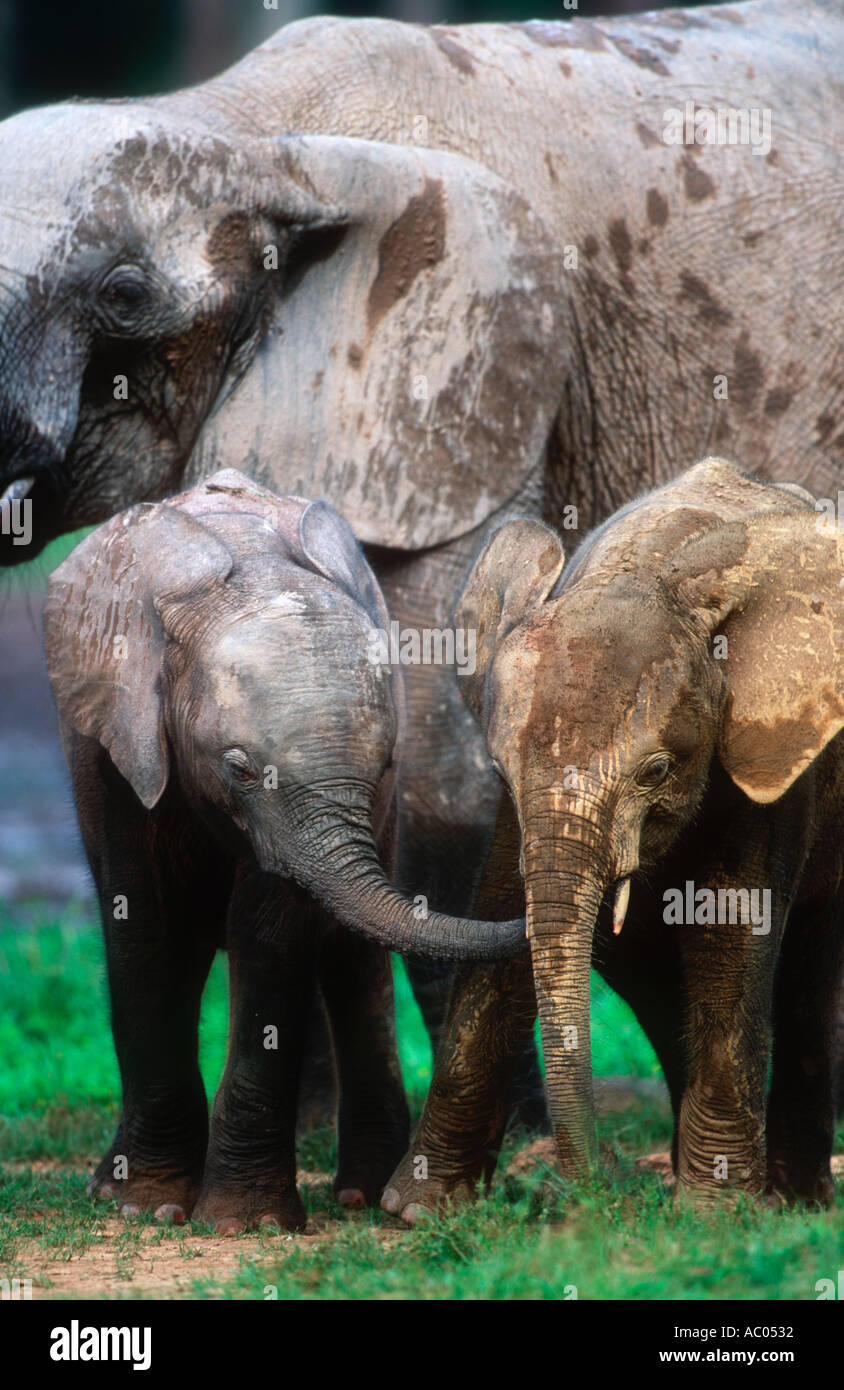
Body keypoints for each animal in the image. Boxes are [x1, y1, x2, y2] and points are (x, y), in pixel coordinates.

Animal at [42, 468, 524, 1231]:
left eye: (386, 763)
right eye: (238, 769)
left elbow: (269, 936)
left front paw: (246, 1224)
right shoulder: (115, 739)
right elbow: (143, 924)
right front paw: (147, 1208)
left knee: (353, 959)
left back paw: (362, 1193)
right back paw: (110, 1187)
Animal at [386, 456, 843, 1216]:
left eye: (656, 771)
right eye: (500, 771)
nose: (592, 1194)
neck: (647, 569)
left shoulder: (765, 755)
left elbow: (729, 931)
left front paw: (716, 1216)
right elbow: (499, 921)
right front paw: (417, 1209)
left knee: (810, 971)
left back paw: (796, 1200)